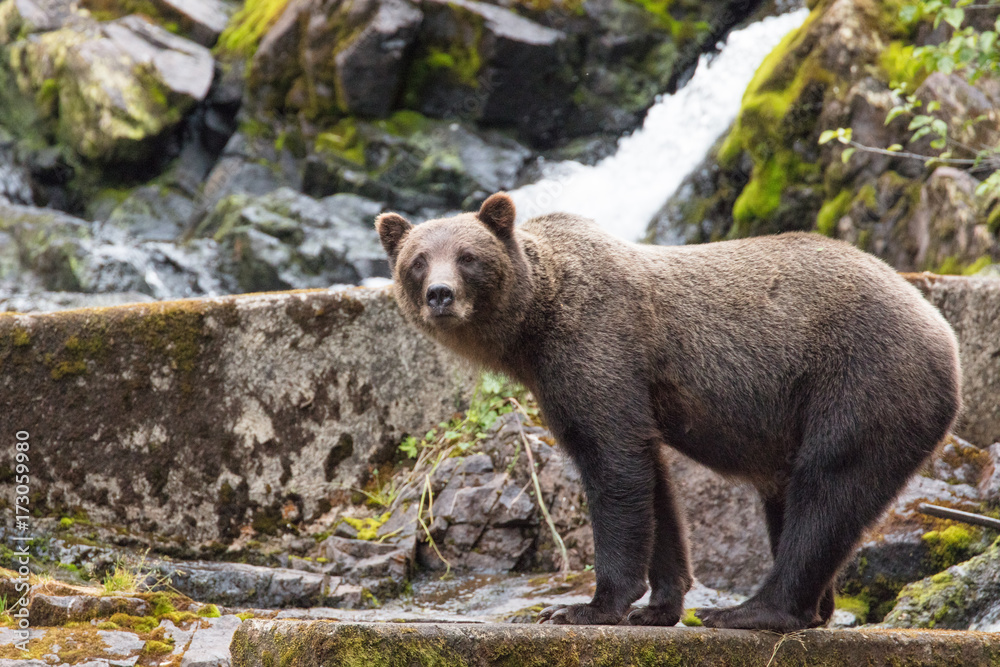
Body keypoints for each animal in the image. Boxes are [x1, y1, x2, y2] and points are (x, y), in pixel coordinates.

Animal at [375, 192, 961, 631]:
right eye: (417, 260)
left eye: (467, 256)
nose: (440, 294)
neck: (532, 328)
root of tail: (943, 329)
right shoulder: (581, 385)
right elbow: (653, 485)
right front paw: (660, 605)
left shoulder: (596, 348)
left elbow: (613, 465)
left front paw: (586, 606)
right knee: (795, 499)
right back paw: (814, 608)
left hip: (861, 379)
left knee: (827, 489)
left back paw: (750, 611)